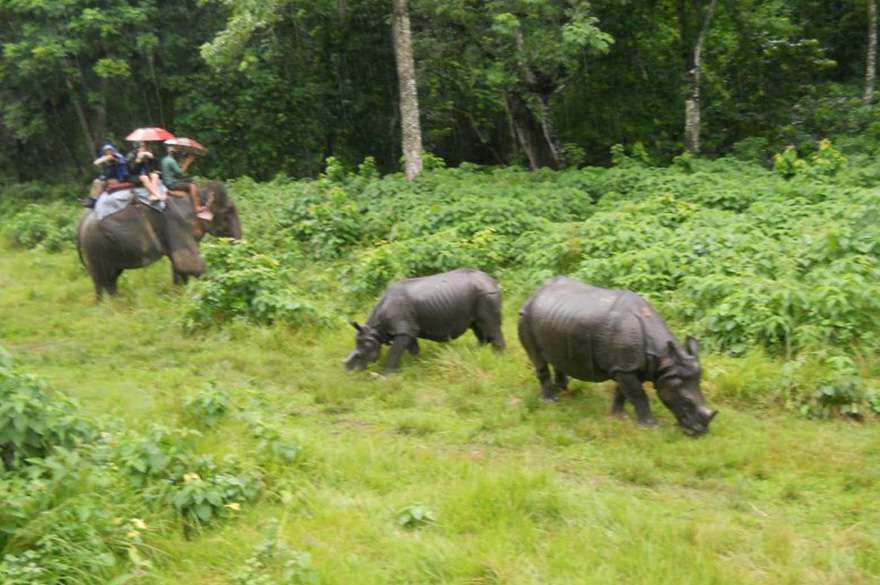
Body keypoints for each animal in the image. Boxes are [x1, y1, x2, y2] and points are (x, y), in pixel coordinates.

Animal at [75, 180, 241, 298]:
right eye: (228, 212)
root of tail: (80, 224)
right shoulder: (176, 224)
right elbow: (186, 262)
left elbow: (179, 266)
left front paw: (179, 296)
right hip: (95, 248)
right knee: (103, 281)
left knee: (110, 280)